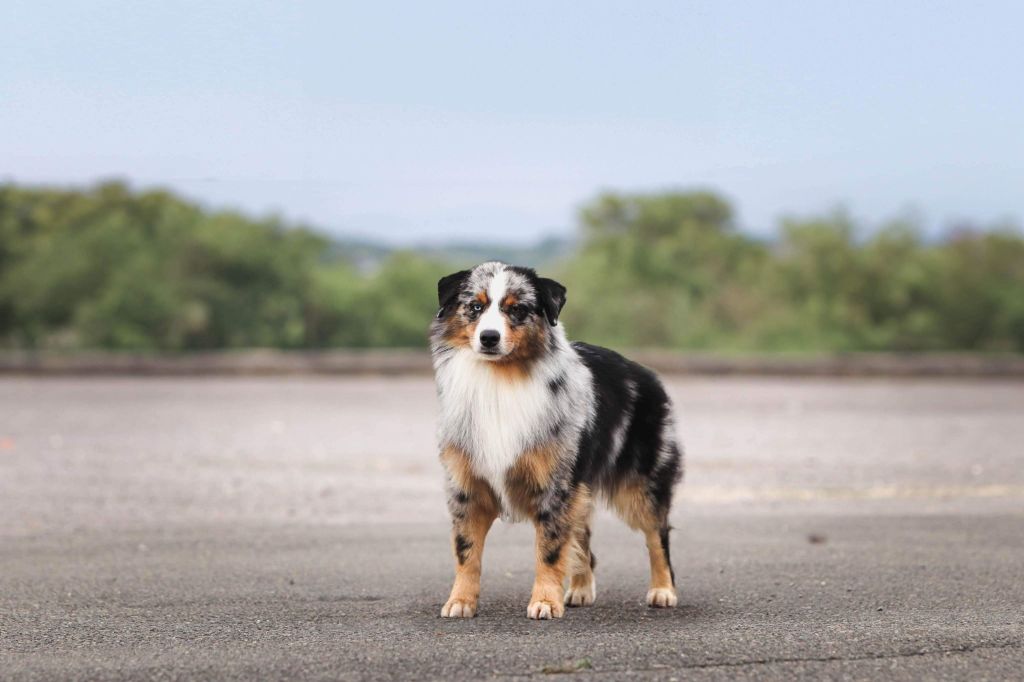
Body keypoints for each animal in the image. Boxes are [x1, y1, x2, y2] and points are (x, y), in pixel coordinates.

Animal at [428, 259, 684, 614]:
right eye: (475, 307)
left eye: (517, 309)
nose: (489, 338)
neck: (501, 378)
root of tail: (647, 373)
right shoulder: (466, 485)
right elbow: (466, 552)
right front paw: (460, 601)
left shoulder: (555, 483)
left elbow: (549, 550)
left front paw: (545, 602)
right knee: (583, 538)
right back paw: (580, 588)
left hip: (642, 485)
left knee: (657, 534)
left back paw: (663, 590)